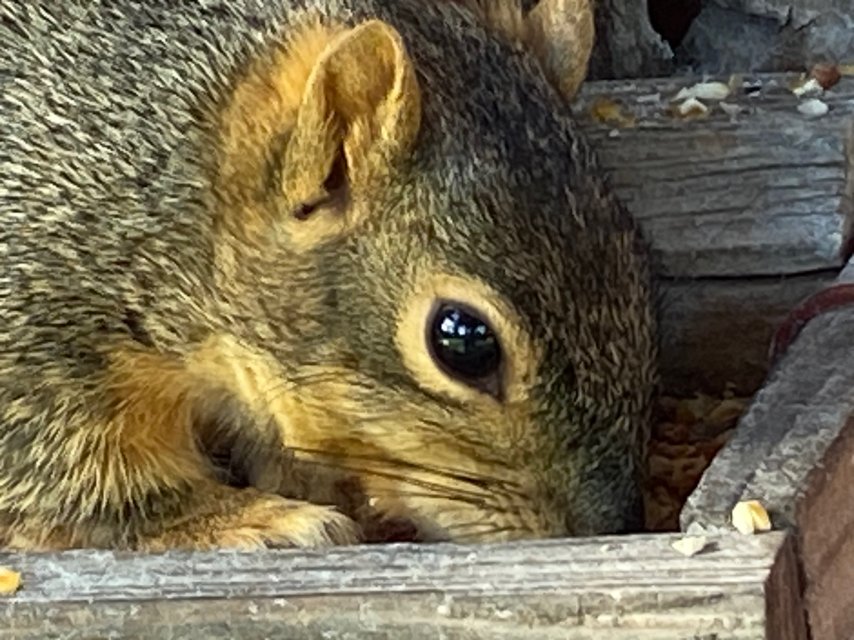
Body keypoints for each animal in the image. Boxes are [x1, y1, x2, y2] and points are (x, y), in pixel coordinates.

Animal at [0, 0, 656, 551]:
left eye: (639, 269)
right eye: (463, 341)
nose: (601, 529)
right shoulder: (39, 333)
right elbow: (83, 481)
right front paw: (252, 518)